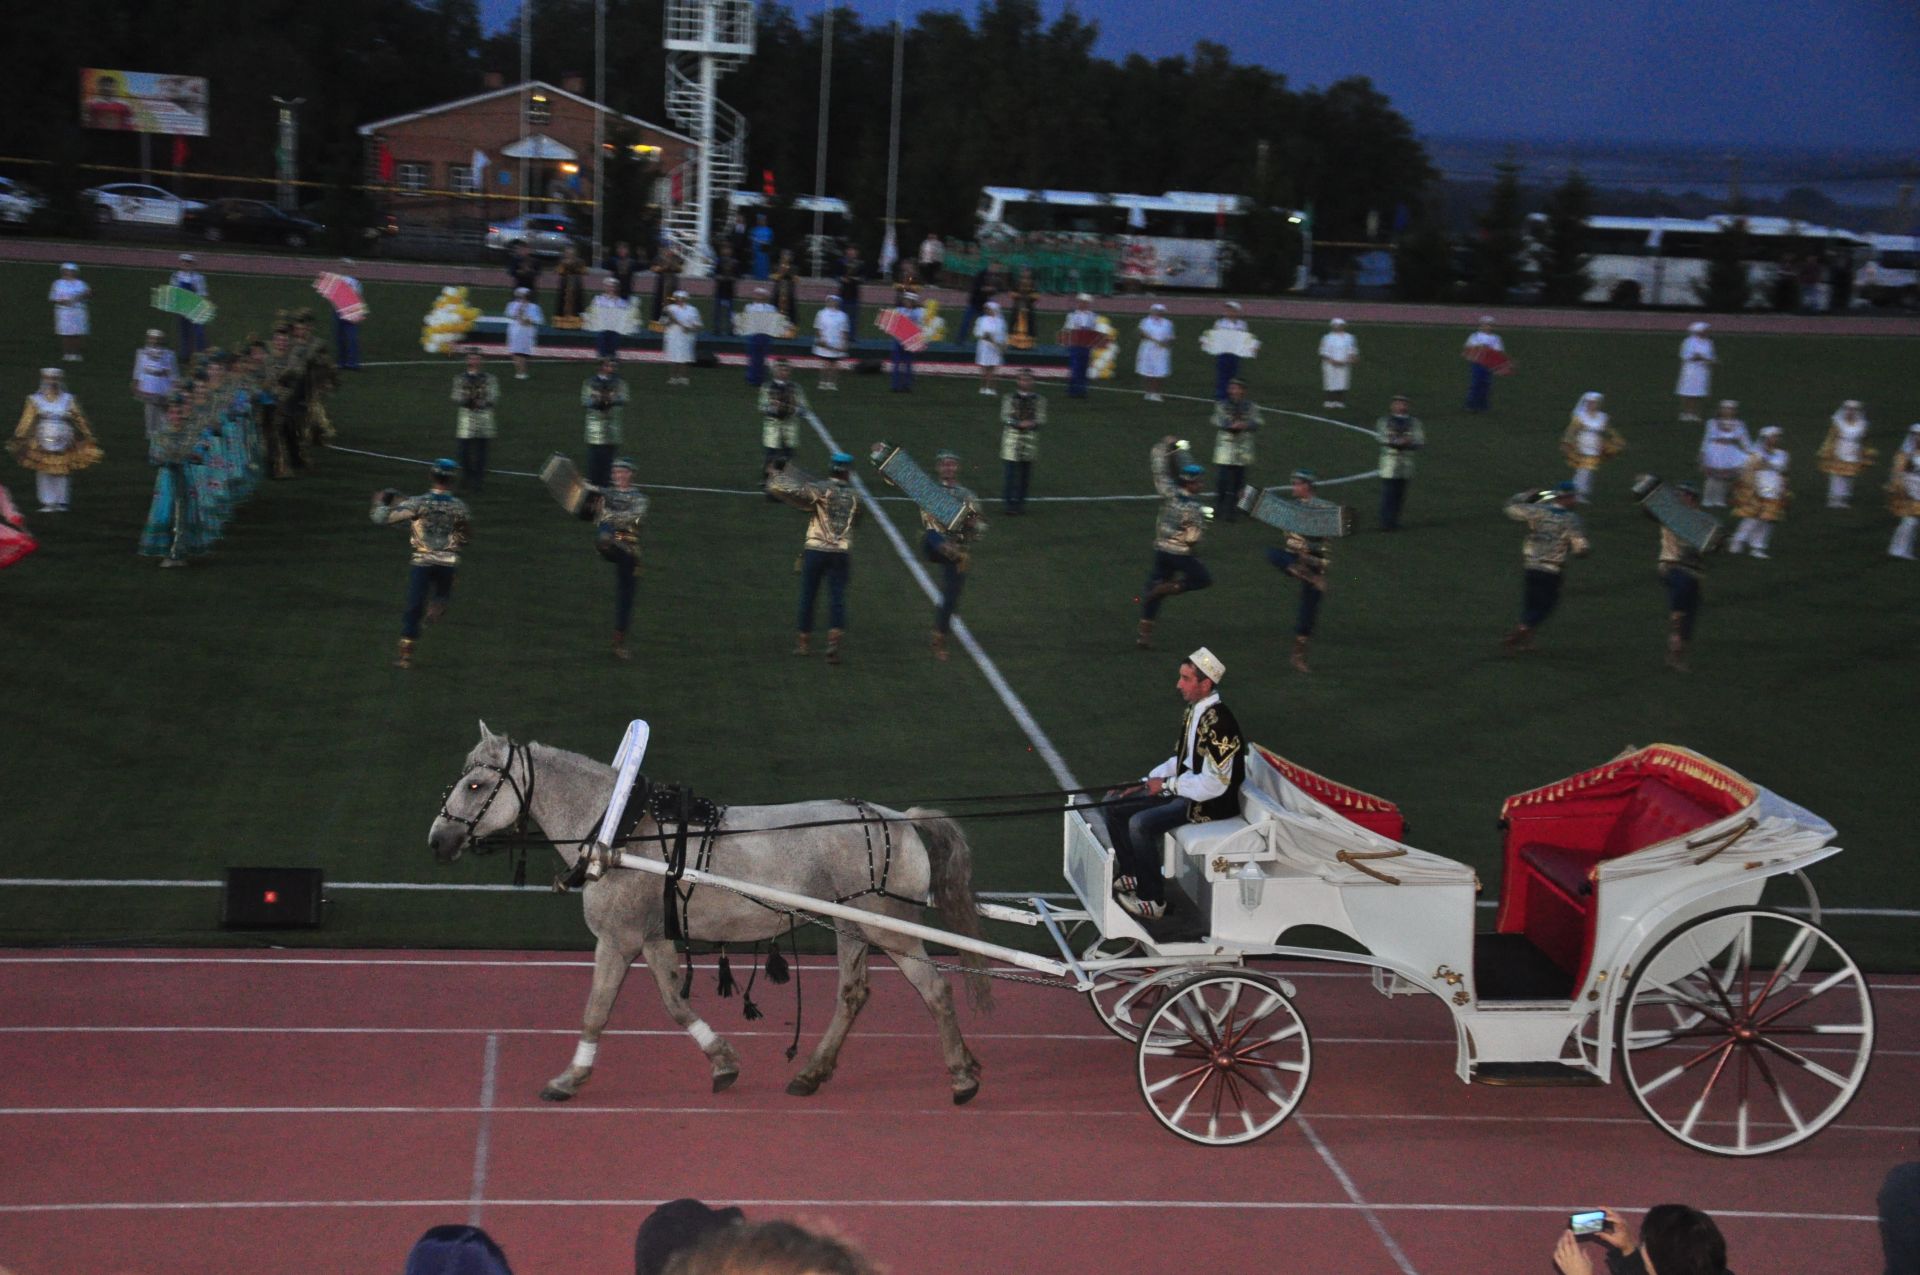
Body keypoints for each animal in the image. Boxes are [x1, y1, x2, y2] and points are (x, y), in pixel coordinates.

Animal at [424, 725, 990, 1106]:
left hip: (887, 929)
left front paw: (569, 1078)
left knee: (936, 990)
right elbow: (675, 1003)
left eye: (475, 786)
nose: (437, 840)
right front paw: (722, 1061)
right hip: (851, 927)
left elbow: (597, 1010)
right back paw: (812, 1073)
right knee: (852, 995)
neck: (620, 831)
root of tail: (899, 818)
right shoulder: (653, 937)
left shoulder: (617, 937)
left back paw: (962, 1075)